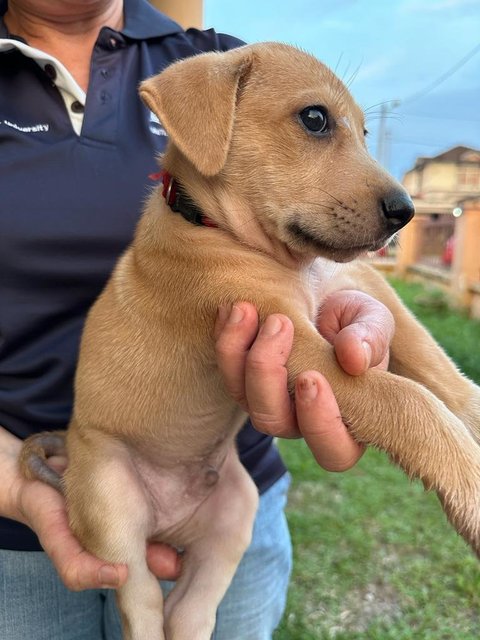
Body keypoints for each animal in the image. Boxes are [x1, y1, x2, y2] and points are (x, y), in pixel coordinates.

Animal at [20, 42, 480, 636]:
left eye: (363, 131)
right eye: (315, 119)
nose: (405, 213)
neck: (216, 228)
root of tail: (169, 525)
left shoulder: (360, 285)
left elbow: (435, 366)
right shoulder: (300, 349)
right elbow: (409, 400)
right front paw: (472, 486)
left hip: (236, 512)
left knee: (189, 611)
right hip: (112, 508)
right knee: (142, 604)